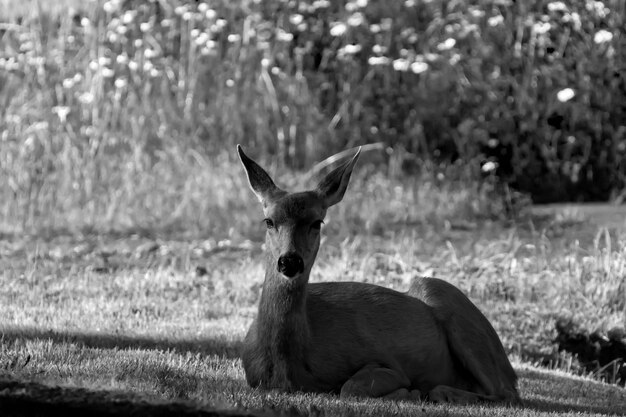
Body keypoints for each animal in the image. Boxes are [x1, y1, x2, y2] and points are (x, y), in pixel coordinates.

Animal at [236, 145, 520, 404]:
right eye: (269, 221)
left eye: (317, 222)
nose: (290, 262)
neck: (286, 366)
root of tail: (510, 368)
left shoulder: (388, 363)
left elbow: (350, 387)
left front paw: (408, 390)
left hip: (446, 299)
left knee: (505, 394)